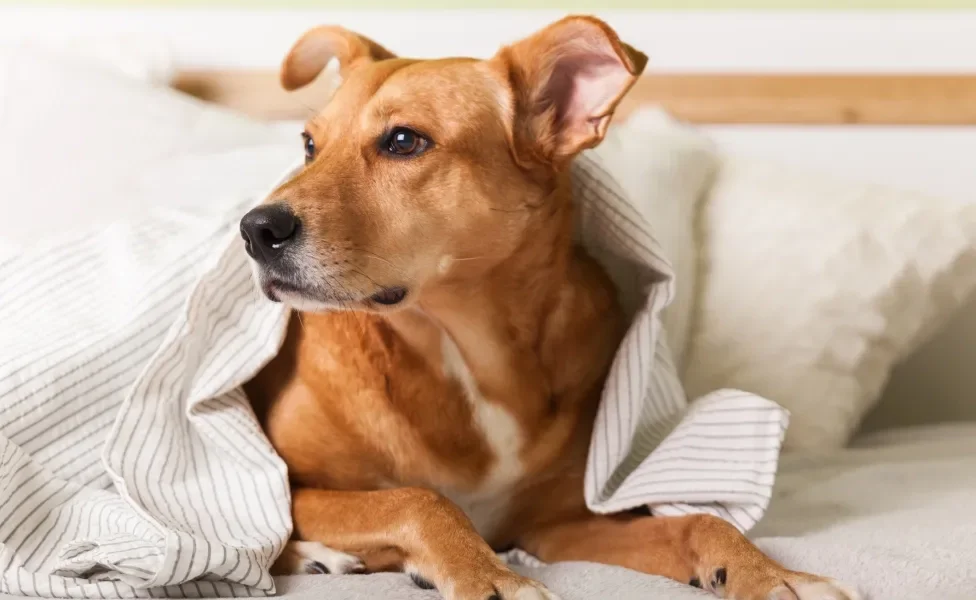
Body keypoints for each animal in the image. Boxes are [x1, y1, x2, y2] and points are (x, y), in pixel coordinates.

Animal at [242, 14, 860, 600]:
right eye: (309, 145)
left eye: (402, 141)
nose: (254, 230)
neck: (469, 354)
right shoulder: (281, 485)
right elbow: (417, 499)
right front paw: (489, 576)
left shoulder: (559, 527)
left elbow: (702, 522)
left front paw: (772, 575)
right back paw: (322, 556)